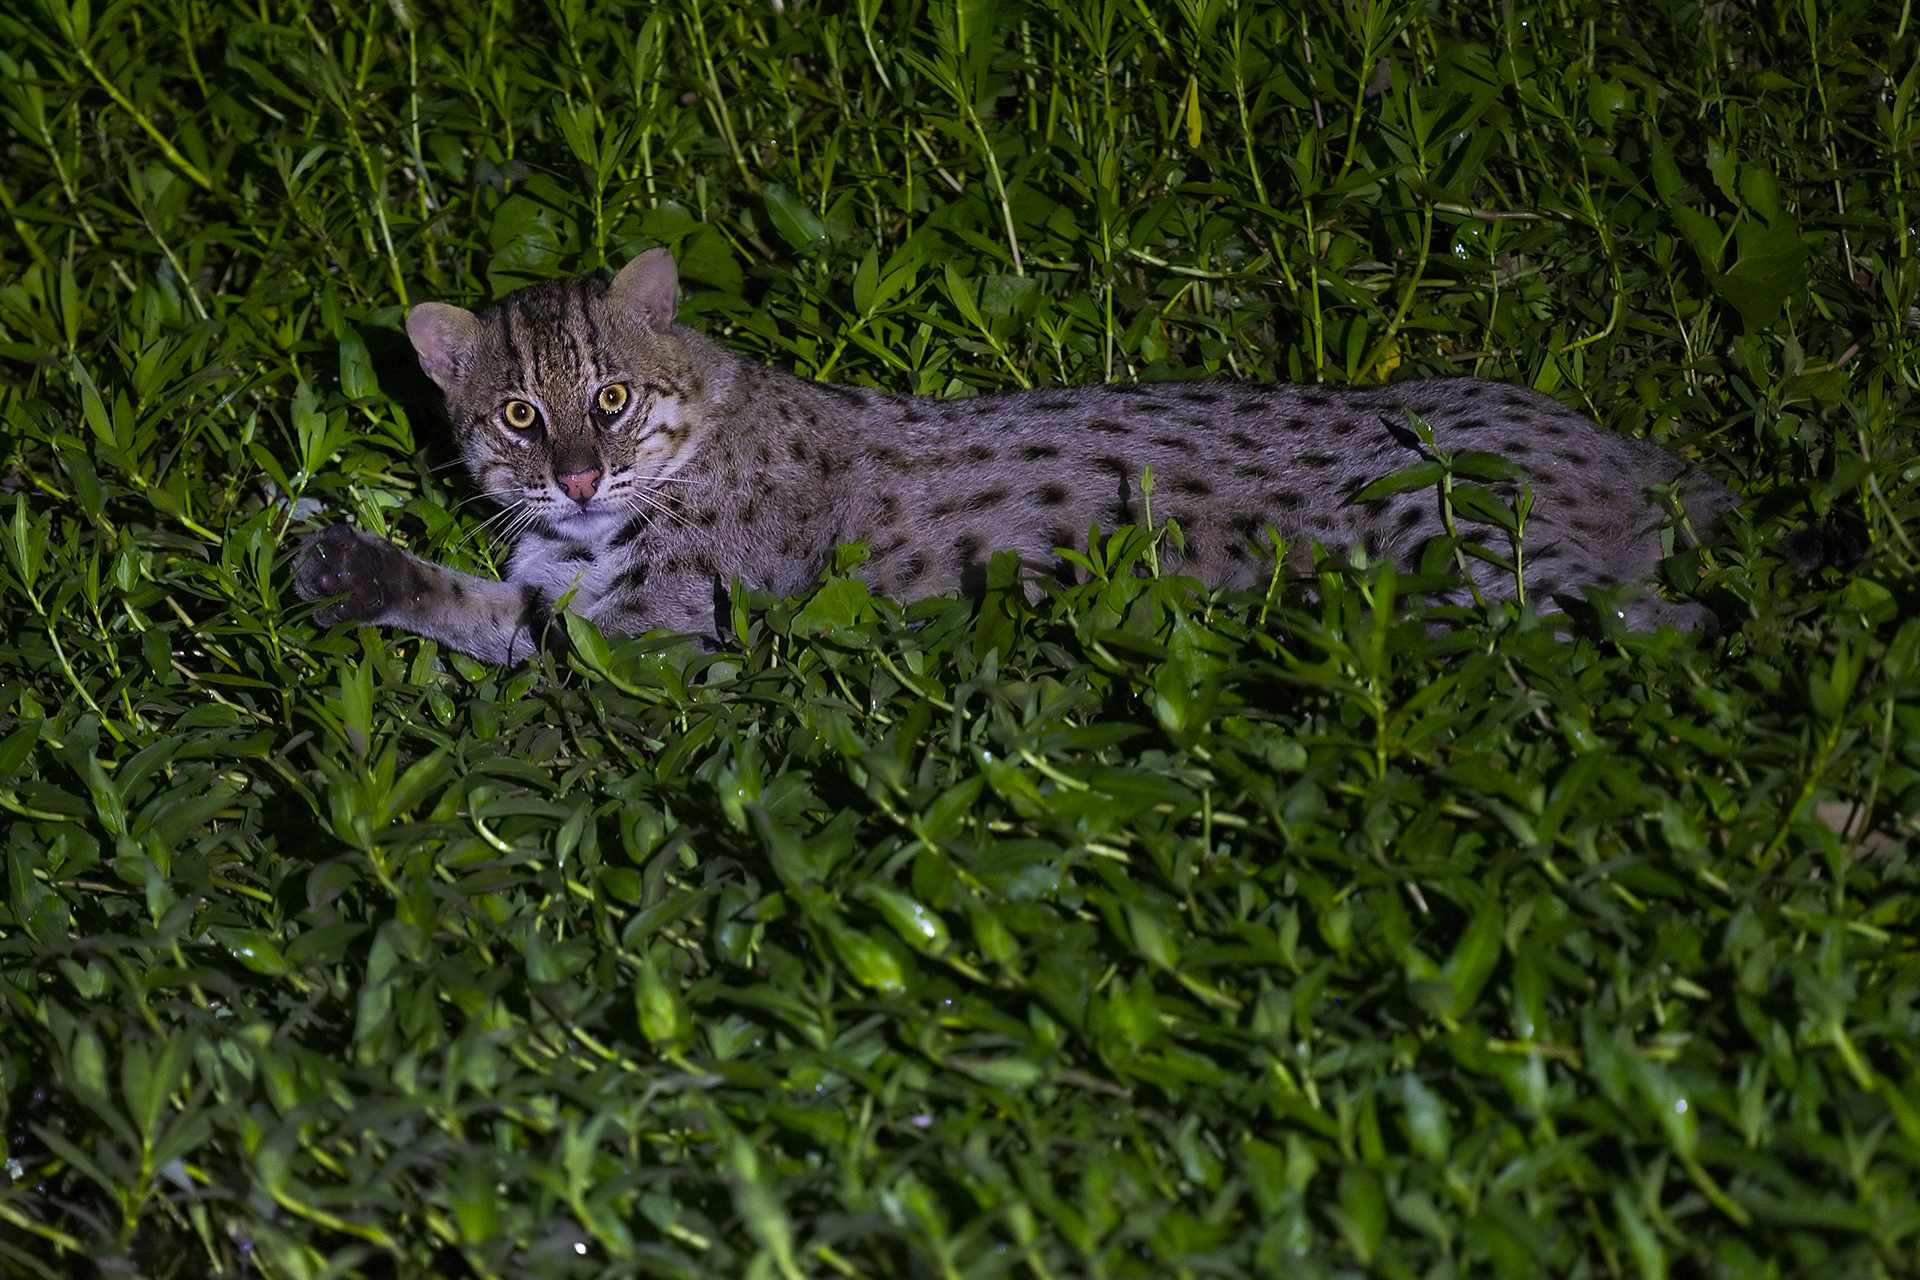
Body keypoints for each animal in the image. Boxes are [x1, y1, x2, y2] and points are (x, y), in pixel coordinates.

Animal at [294, 249, 1734, 663]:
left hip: (1468, 555)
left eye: (608, 396)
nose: (579, 476)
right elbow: (485, 606)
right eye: (517, 417)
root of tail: (1638, 450)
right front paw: (352, 570)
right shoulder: (569, 592)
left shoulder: (668, 628)